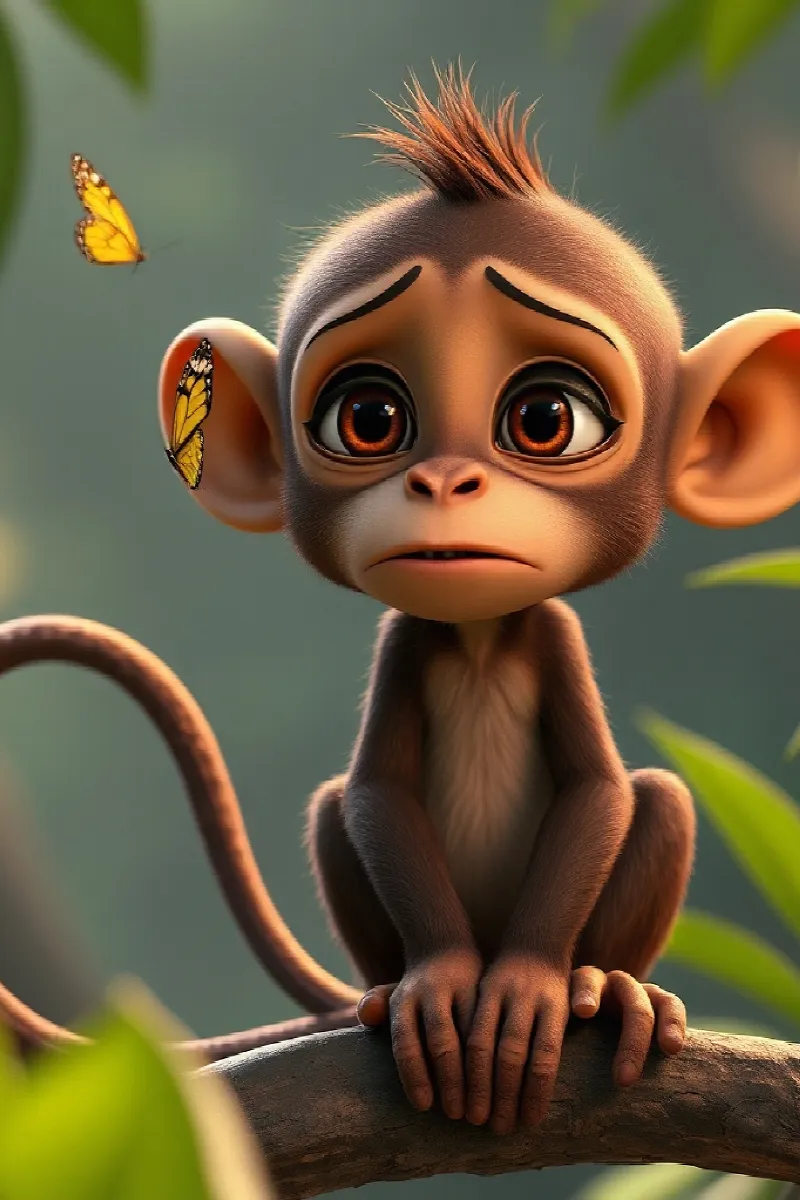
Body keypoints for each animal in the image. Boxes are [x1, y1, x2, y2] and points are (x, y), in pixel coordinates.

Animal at [3, 65, 800, 1136]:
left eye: (547, 418)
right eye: (368, 417)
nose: (446, 483)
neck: (478, 636)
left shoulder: (551, 631)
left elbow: (598, 789)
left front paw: (532, 986)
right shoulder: (405, 639)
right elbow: (375, 790)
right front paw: (441, 982)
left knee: (662, 796)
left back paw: (606, 987)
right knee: (334, 805)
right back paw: (387, 994)